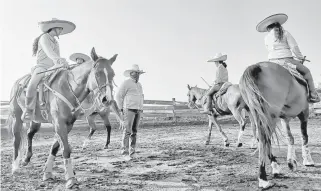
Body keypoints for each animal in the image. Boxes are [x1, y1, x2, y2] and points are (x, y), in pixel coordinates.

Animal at [7, 47, 123, 188]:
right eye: (97, 73)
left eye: (113, 74)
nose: (107, 99)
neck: (69, 88)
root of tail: (18, 82)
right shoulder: (59, 123)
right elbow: (66, 149)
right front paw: (71, 179)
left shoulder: (68, 124)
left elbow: (55, 147)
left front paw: (47, 173)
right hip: (17, 117)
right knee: (16, 139)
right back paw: (15, 166)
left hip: (36, 120)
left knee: (29, 134)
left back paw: (26, 158)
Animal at [238, 60, 316, 188]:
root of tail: (256, 67)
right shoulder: (304, 112)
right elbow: (304, 136)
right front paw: (307, 160)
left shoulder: (284, 118)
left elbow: (290, 137)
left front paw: (292, 162)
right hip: (271, 116)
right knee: (264, 139)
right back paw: (263, 178)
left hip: (259, 114)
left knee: (263, 139)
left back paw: (274, 168)